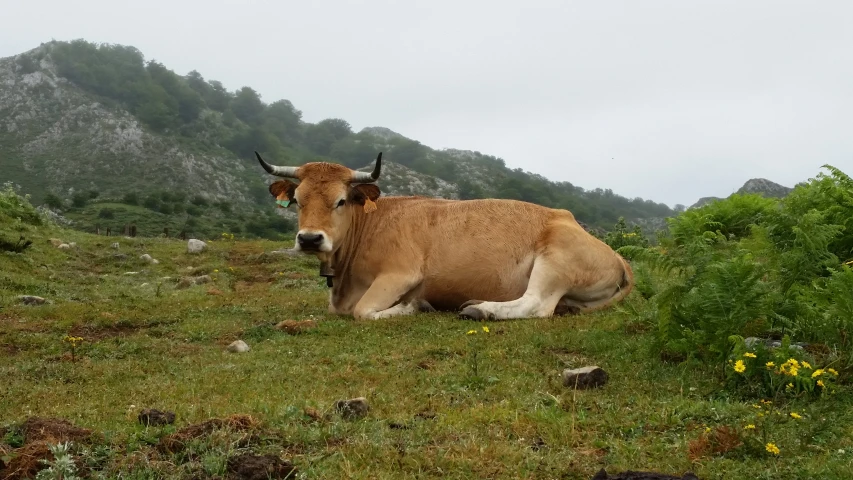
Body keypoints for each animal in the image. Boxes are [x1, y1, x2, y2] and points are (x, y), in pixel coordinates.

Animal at [256, 152, 636, 320]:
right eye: (298, 200)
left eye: (340, 201)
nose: (309, 239)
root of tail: (617, 256)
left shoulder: (402, 273)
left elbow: (362, 311)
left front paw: (411, 307)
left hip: (556, 257)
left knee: (537, 305)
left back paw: (480, 310)